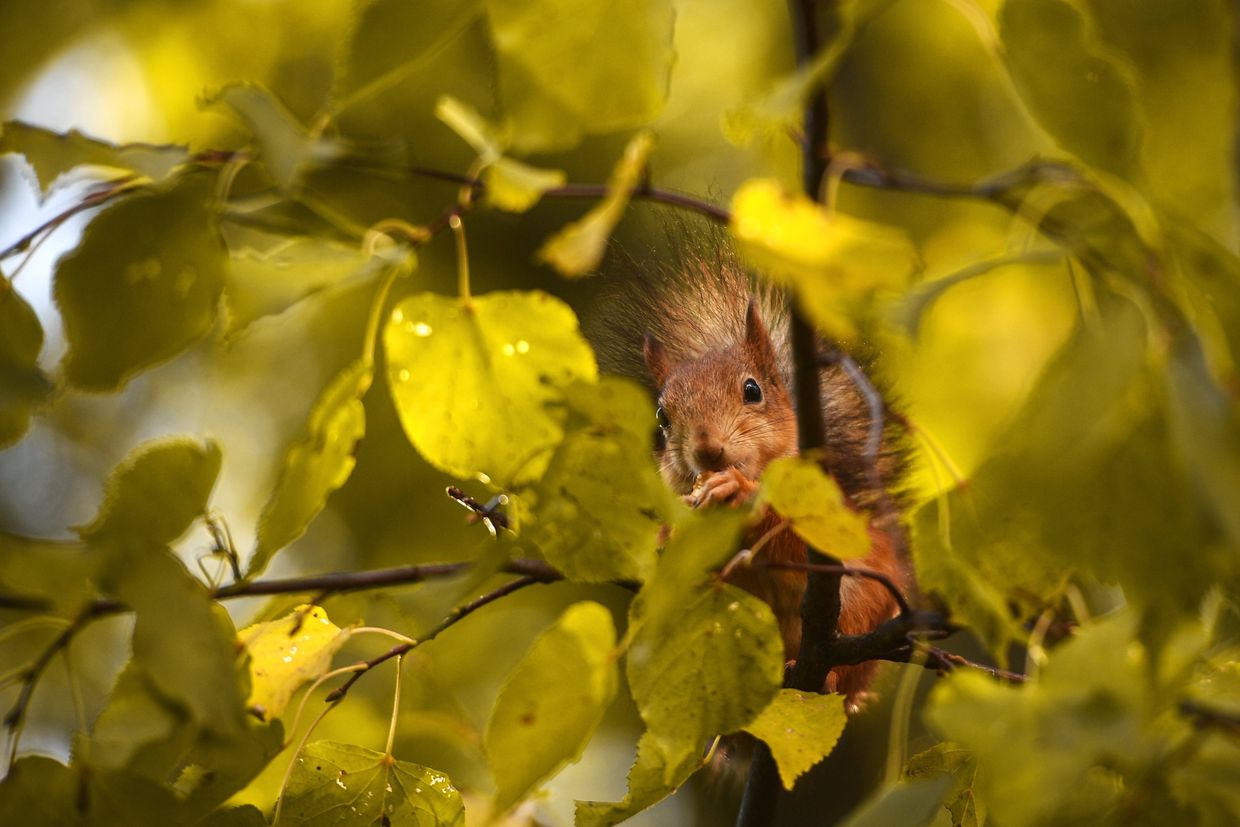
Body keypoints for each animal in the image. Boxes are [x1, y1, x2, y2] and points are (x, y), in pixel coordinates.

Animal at [589, 220, 912, 708]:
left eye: (752, 390)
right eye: (662, 417)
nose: (707, 450)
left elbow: (793, 538)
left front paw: (737, 492)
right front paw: (668, 534)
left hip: (864, 608)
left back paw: (829, 677)